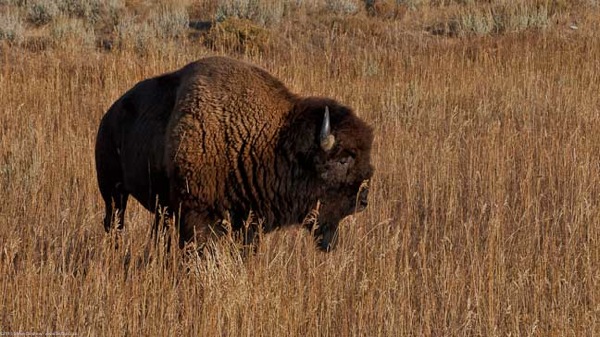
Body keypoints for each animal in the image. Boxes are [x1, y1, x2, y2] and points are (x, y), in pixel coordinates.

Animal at [95, 55, 372, 249]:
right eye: (343, 159)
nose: (363, 200)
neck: (271, 139)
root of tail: (109, 116)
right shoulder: (196, 216)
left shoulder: (247, 222)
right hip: (113, 192)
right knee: (114, 222)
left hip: (159, 207)